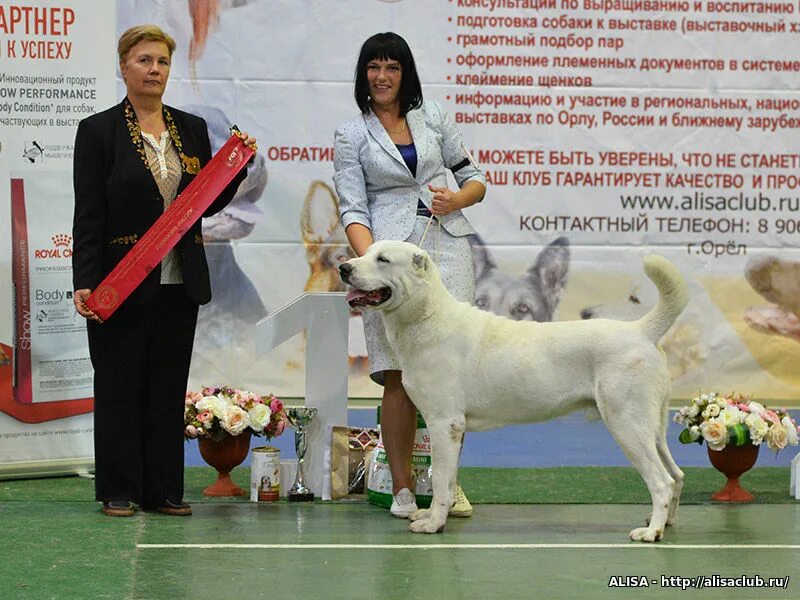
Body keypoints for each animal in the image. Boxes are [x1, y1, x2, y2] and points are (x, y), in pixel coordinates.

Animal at [340, 240, 692, 544]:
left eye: (383, 259)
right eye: (366, 253)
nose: (344, 268)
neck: (425, 314)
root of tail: (640, 330)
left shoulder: (444, 424)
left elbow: (440, 481)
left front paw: (433, 524)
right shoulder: (449, 428)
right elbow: (448, 480)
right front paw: (433, 516)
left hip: (627, 424)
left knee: (661, 481)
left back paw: (651, 533)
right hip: (651, 427)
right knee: (676, 474)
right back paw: (667, 523)